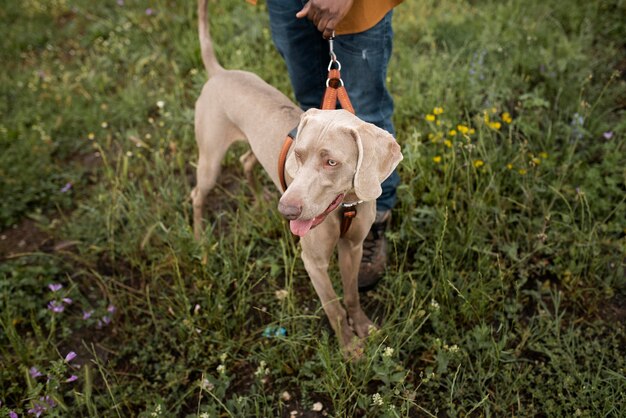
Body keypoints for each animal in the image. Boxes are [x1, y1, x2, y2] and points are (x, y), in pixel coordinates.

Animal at [193, 0, 402, 356]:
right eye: (299, 157)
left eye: (331, 162)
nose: (286, 211)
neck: (344, 207)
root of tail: (220, 73)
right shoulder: (313, 261)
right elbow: (333, 306)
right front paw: (349, 348)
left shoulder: (353, 248)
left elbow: (351, 296)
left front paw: (363, 328)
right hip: (210, 160)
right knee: (197, 193)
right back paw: (199, 238)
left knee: (247, 161)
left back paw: (259, 199)